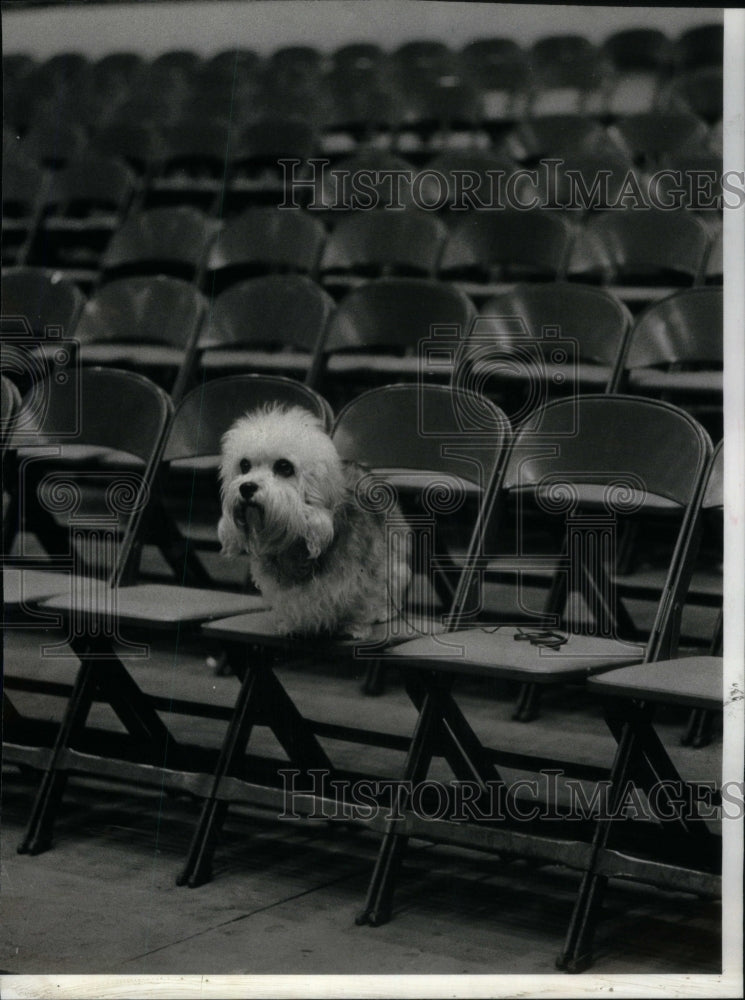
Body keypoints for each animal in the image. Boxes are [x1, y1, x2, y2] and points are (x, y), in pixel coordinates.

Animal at [215, 406, 412, 640]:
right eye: (244, 465)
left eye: (284, 467)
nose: (246, 488)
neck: (296, 540)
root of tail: (361, 467)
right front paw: (291, 625)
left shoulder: (363, 573)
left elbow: (362, 600)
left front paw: (355, 627)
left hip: (395, 556)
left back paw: (385, 611)